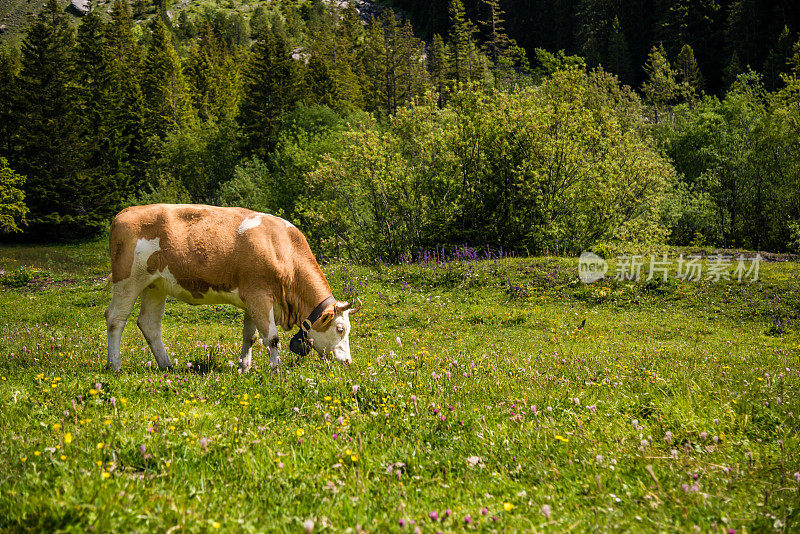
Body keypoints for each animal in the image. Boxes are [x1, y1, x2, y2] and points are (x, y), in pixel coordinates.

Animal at [104, 204, 360, 372]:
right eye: (340, 329)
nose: (348, 361)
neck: (280, 248)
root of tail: (126, 212)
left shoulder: (251, 300)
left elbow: (250, 336)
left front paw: (244, 367)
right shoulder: (259, 296)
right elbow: (272, 338)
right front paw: (275, 370)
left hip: (155, 285)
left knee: (149, 324)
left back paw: (167, 365)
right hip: (128, 280)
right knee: (115, 318)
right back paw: (115, 365)